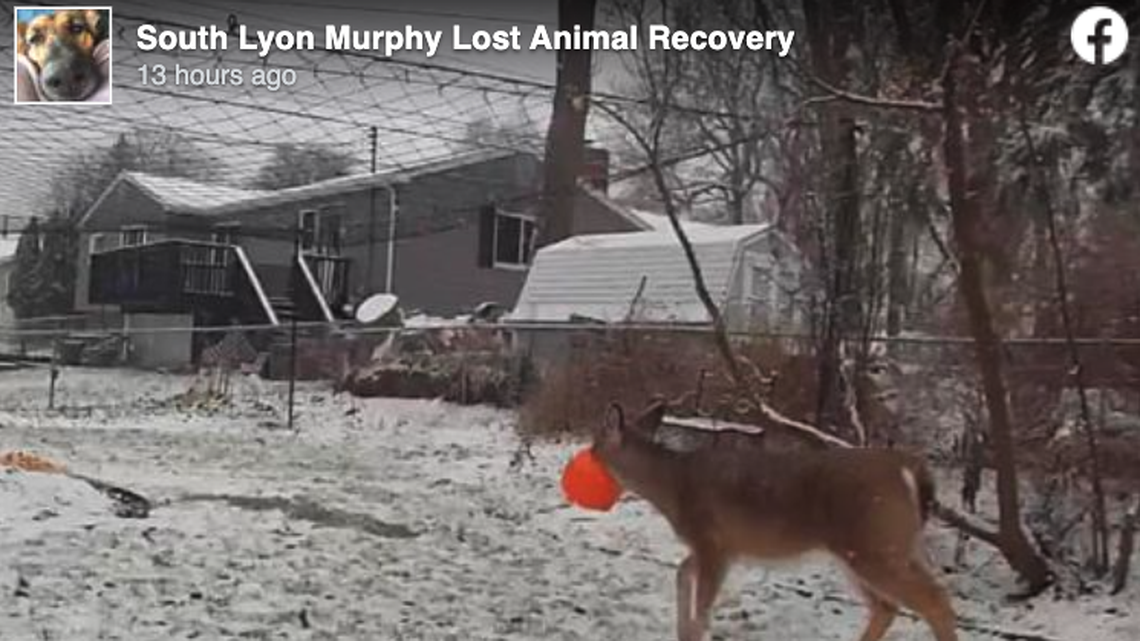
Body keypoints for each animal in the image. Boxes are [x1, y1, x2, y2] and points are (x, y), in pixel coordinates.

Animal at [591, 400, 957, 641]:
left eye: (596, 447)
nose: (587, 455)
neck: (674, 486)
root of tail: (910, 468)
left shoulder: (713, 541)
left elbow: (703, 609)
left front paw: (692, 630)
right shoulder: (719, 545)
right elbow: (682, 573)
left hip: (876, 545)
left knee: (935, 601)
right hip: (874, 548)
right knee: (888, 606)